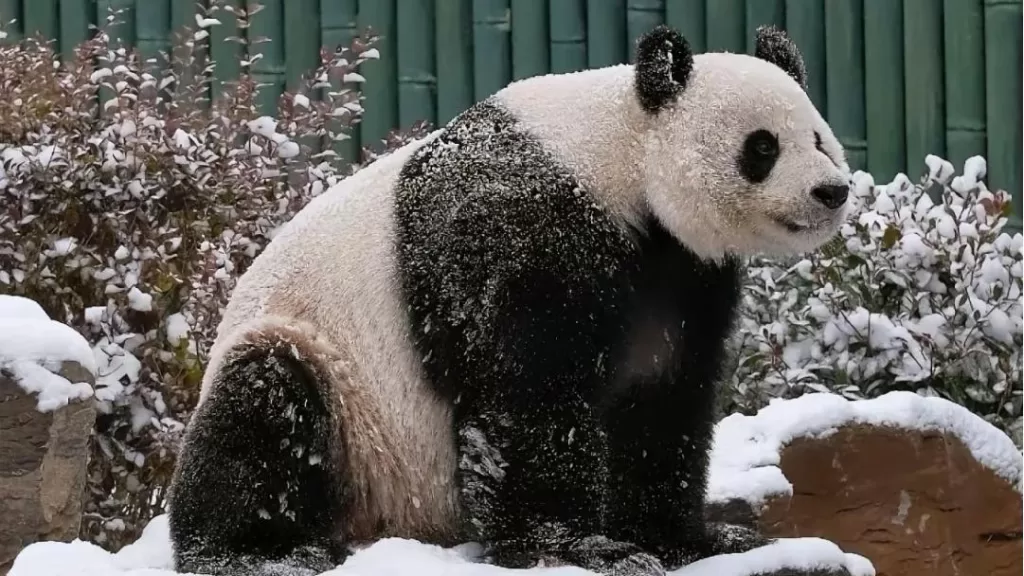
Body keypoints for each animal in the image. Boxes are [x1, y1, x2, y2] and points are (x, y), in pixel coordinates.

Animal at [168, 25, 851, 576]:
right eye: (762, 146)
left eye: (819, 138)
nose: (832, 191)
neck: (618, 154)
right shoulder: (516, 224)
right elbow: (528, 391)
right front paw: (580, 548)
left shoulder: (681, 271)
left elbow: (664, 397)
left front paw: (695, 539)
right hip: (335, 388)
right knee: (262, 410)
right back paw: (262, 553)